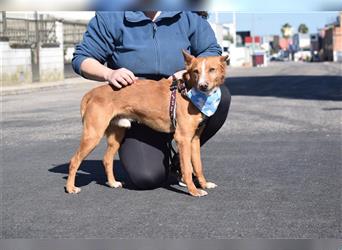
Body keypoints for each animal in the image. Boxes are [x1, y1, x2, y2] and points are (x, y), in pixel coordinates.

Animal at [65, 49, 228, 196]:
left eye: (212, 69)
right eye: (195, 71)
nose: (203, 85)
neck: (189, 91)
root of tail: (92, 93)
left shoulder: (194, 139)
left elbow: (198, 166)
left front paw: (204, 184)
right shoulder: (183, 138)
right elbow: (188, 168)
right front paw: (193, 191)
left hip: (116, 136)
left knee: (106, 159)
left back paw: (112, 183)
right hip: (93, 135)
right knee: (74, 160)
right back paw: (70, 188)